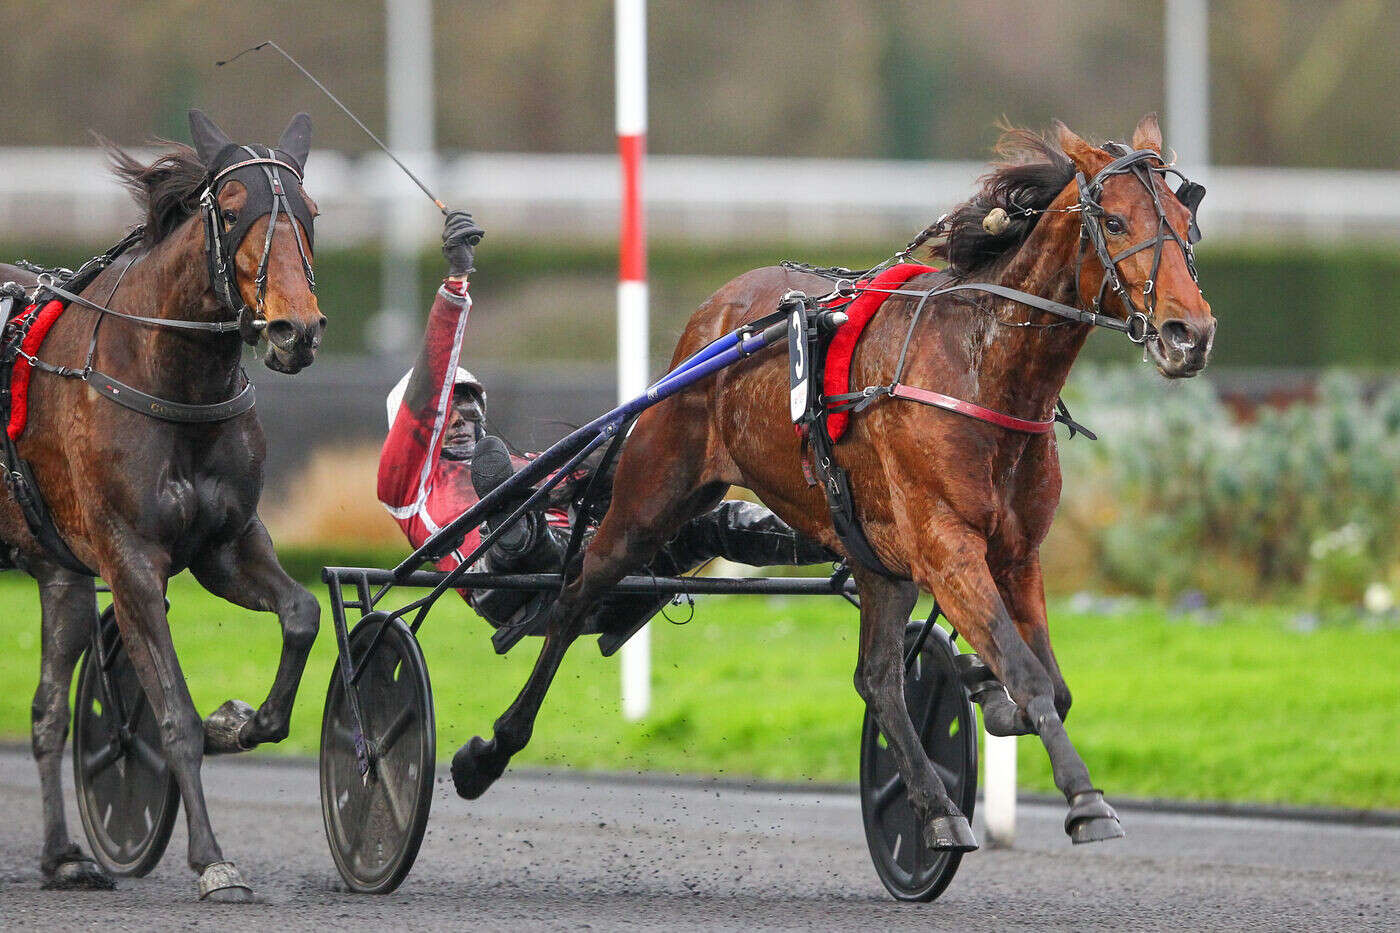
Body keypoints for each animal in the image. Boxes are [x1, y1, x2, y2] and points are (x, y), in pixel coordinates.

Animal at [2, 110, 327, 902]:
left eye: (310, 213)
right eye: (233, 210)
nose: (295, 330)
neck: (175, 380)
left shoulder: (226, 544)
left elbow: (301, 613)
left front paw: (238, 721)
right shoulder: (130, 562)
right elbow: (172, 711)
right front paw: (212, 858)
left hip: (57, 570)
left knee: (47, 710)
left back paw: (63, 856)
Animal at [456, 116, 1215, 857]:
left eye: (1187, 218)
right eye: (1113, 221)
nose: (1191, 333)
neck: (982, 371)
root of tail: (715, 314)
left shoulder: (1013, 553)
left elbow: (1049, 687)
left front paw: (987, 693)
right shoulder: (949, 548)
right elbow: (1028, 675)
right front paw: (1086, 799)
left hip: (875, 555)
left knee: (876, 678)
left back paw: (935, 811)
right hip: (653, 497)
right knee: (576, 593)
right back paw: (487, 751)